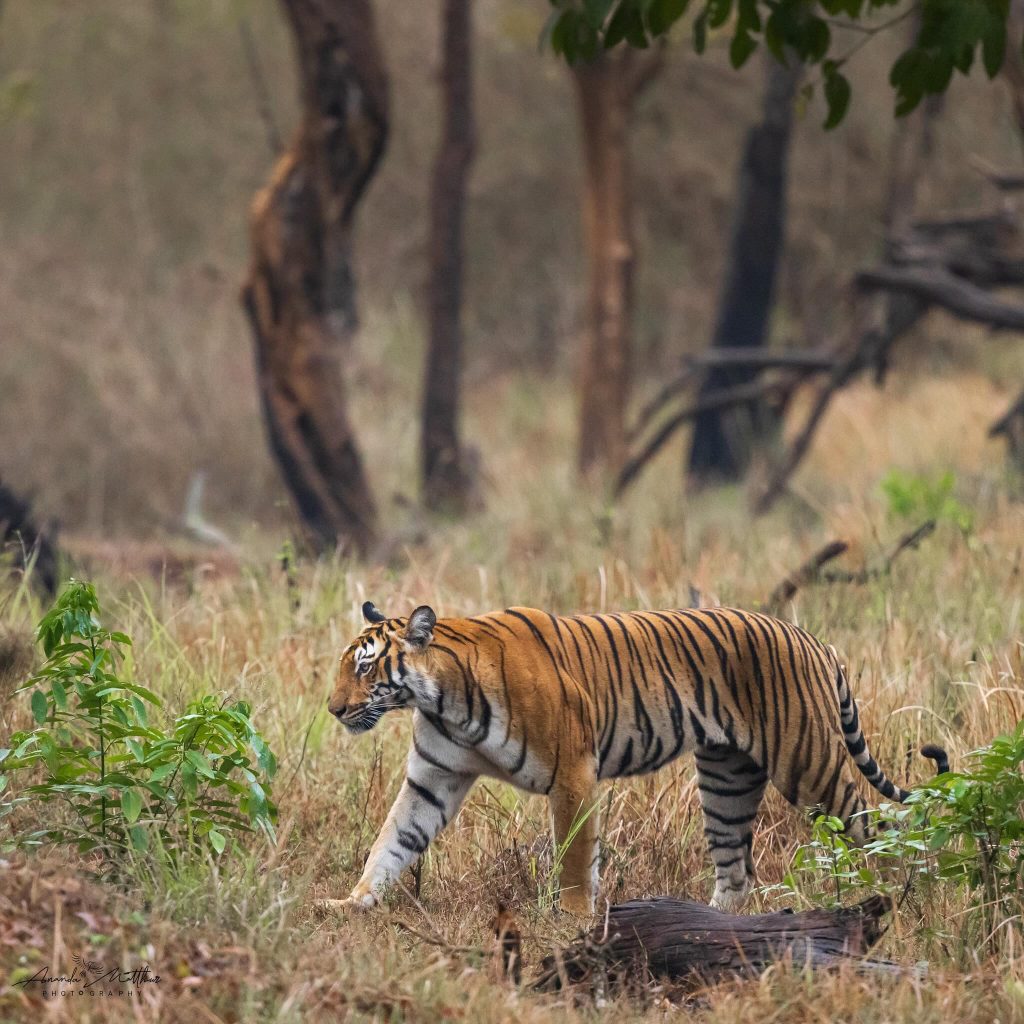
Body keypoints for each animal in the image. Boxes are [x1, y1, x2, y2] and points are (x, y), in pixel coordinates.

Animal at [323, 598, 946, 917]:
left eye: (366, 666)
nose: (332, 709)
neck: (442, 697)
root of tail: (817, 642)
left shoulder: (573, 773)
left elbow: (576, 858)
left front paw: (573, 922)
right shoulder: (434, 777)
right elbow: (392, 841)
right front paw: (351, 903)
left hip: (810, 764)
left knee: (884, 827)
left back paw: (915, 899)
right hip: (725, 780)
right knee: (736, 871)